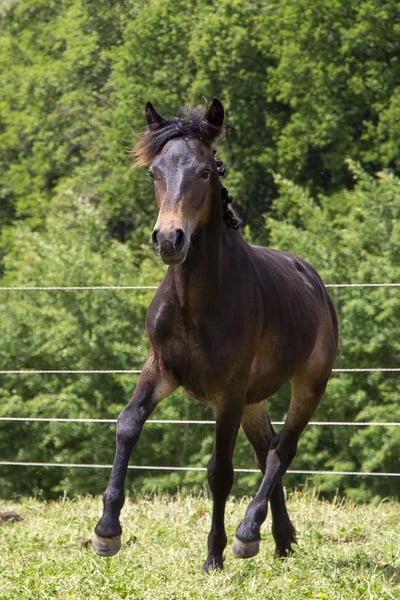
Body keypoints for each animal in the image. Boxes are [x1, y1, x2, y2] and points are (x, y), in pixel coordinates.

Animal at [92, 98, 338, 571]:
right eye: (154, 172)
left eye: (206, 171)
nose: (169, 239)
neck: (198, 303)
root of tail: (312, 280)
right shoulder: (161, 368)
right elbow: (128, 424)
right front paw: (106, 532)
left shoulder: (228, 391)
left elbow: (219, 470)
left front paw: (215, 555)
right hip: (254, 400)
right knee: (266, 452)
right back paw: (281, 539)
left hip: (307, 384)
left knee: (281, 452)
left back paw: (248, 534)